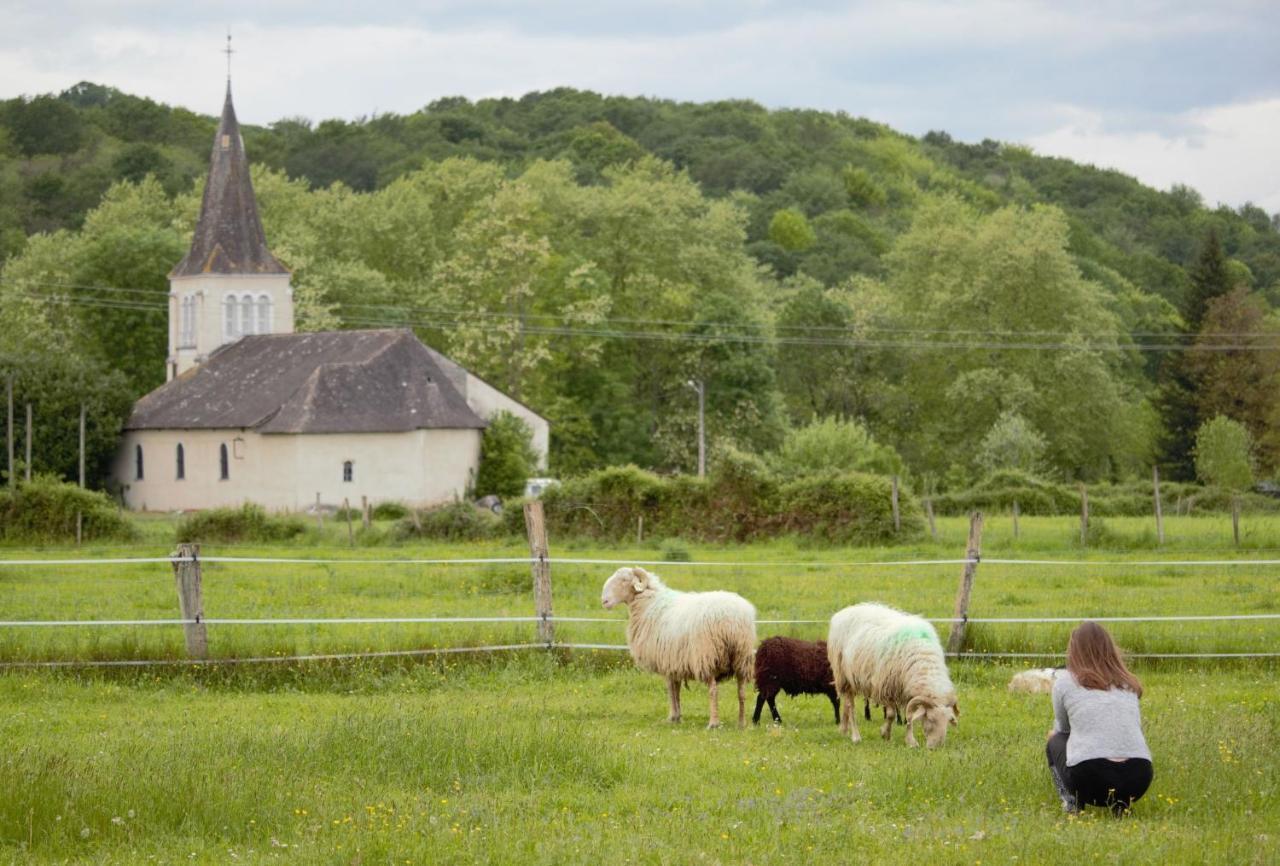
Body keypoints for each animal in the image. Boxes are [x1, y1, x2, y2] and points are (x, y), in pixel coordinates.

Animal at [601, 562, 757, 726]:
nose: (604, 601)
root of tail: (732, 618)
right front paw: (677, 716)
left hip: (706, 656)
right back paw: (741, 723)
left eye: (624, 580)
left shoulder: (666, 660)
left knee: (713, 690)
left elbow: (671, 689)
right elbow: (677, 689)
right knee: (741, 692)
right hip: (741, 656)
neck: (649, 603)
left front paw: (672, 717)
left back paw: (713, 723)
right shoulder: (674, 662)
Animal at [829, 601, 962, 752]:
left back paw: (843, 729)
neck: (923, 662)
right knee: (850, 706)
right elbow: (892, 715)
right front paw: (886, 734)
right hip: (844, 675)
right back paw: (855, 736)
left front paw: (910, 741)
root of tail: (846, 610)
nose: (935, 748)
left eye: (948, 721)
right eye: (931, 719)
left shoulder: (907, 690)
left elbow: (909, 716)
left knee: (846, 705)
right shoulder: (887, 687)